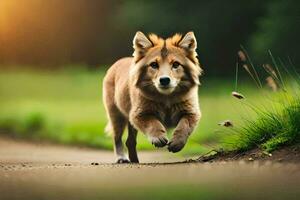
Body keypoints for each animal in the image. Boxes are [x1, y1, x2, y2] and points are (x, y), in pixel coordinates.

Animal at [102, 31, 202, 162]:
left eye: (176, 64)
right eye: (154, 64)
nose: (164, 80)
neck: (166, 98)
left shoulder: (191, 111)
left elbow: (184, 125)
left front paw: (177, 142)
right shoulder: (138, 114)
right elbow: (152, 123)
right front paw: (158, 137)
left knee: (130, 141)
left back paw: (135, 160)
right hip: (116, 115)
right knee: (117, 137)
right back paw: (121, 158)